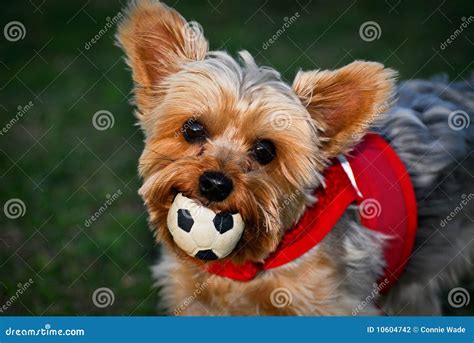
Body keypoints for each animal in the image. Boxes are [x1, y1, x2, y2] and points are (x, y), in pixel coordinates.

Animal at [115, 0, 474, 318]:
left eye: (265, 150)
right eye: (193, 130)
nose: (215, 184)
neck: (245, 265)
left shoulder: (333, 301)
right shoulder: (195, 299)